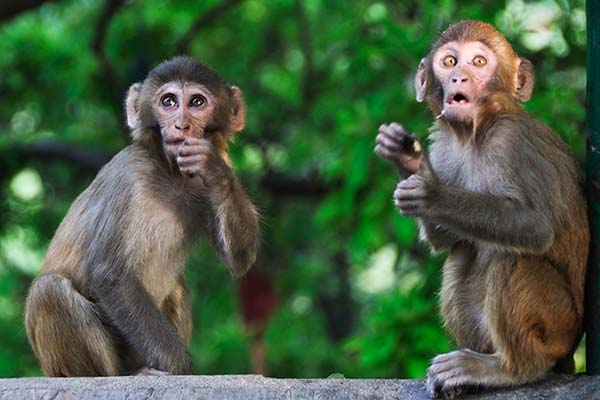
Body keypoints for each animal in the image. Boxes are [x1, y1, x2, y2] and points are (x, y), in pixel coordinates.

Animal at [24, 54, 258, 376]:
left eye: (197, 102)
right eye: (168, 101)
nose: (181, 125)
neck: (168, 171)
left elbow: (240, 259)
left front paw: (213, 169)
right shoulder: (130, 174)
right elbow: (110, 274)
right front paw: (179, 368)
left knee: (177, 285)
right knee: (49, 291)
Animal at [378, 21, 588, 396]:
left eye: (478, 61)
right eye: (449, 61)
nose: (459, 76)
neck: (474, 133)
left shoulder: (511, 142)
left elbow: (535, 228)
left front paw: (435, 196)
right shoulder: (444, 144)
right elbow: (445, 240)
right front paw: (408, 159)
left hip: (560, 326)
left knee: (508, 256)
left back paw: (509, 369)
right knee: (463, 251)